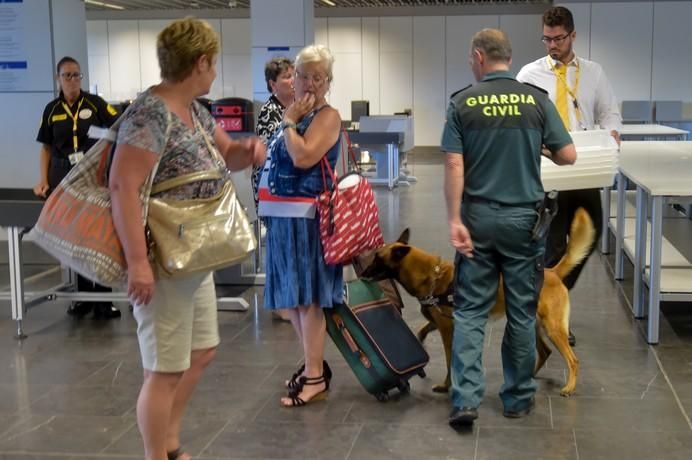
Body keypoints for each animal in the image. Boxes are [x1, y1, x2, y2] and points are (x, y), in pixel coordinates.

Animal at [356, 208, 596, 396]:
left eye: (377, 258)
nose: (363, 273)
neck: (431, 276)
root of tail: (552, 272)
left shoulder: (447, 329)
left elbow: (449, 359)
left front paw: (446, 386)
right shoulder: (439, 321)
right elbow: (421, 330)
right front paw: (420, 344)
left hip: (552, 328)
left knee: (572, 360)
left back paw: (569, 387)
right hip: (532, 325)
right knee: (545, 352)